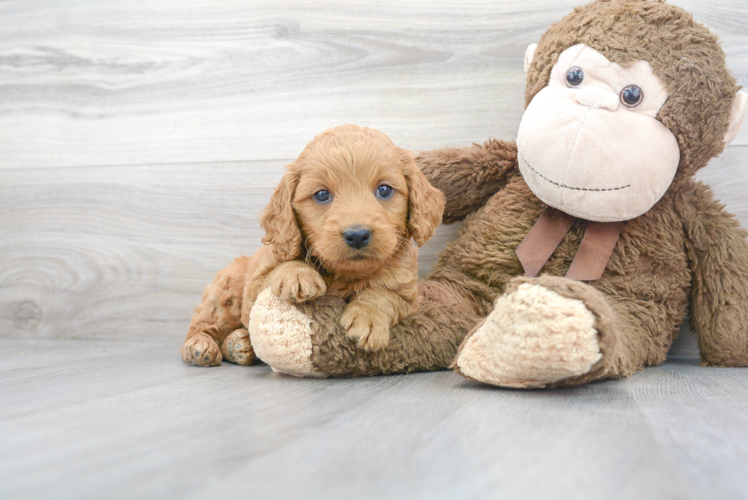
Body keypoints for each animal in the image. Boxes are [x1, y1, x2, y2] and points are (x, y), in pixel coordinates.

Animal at [180, 125, 444, 368]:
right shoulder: (255, 288)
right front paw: (297, 274)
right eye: (322, 195)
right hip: (224, 297)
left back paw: (240, 344)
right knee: (202, 324)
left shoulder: (408, 295)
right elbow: (279, 270)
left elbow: (383, 295)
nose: (357, 235)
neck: (345, 274)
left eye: (385, 190)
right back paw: (200, 346)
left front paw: (367, 318)